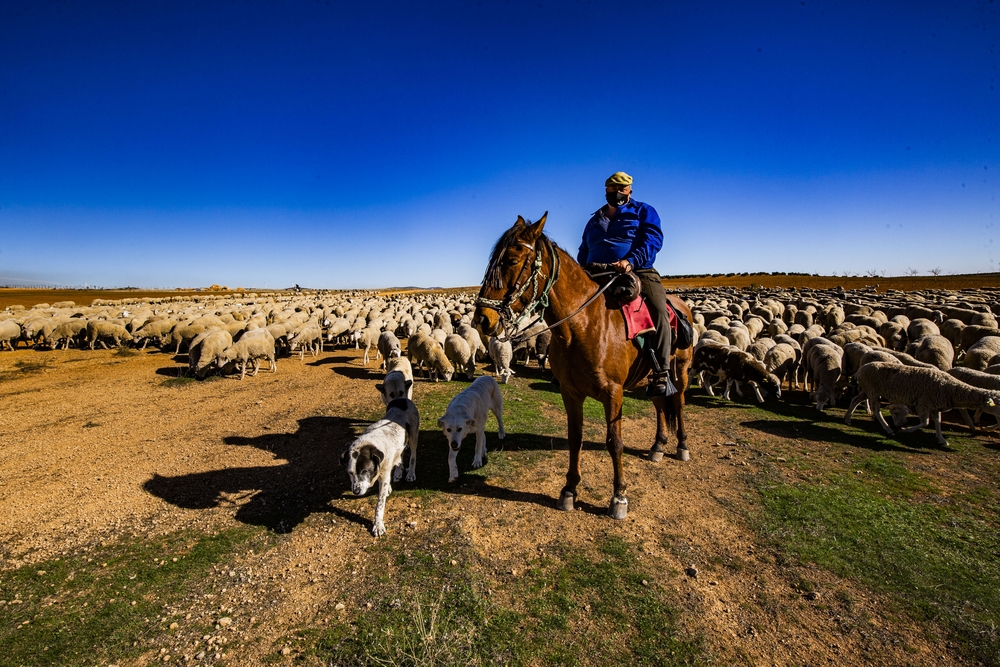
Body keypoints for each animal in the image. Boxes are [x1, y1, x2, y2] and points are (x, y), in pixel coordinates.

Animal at [342, 396, 420, 536]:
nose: (356, 492)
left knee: (412, 456)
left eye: (364, 471)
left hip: (413, 436)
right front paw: (389, 486)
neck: (370, 443)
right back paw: (398, 473)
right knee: (400, 456)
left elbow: (379, 504)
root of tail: (402, 398)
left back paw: (410, 473)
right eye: (350, 473)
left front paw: (378, 525)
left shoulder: (383, 474)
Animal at [472, 211, 692, 520]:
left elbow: (614, 442)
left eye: (512, 261)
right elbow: (574, 438)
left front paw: (619, 497)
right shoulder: (570, 392)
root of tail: (680, 305)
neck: (584, 325)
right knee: (661, 403)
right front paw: (569, 490)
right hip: (651, 376)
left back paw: (681, 446)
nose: (481, 319)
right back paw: (658, 446)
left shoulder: (614, 394)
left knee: (679, 403)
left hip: (680, 369)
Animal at [844, 362, 1000, 446]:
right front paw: (906, 430)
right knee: (877, 410)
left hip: (868, 390)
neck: (951, 388)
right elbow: (925, 422)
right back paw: (888, 429)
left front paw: (942, 439)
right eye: (998, 404)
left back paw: (848, 419)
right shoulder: (923, 404)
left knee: (855, 400)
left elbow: (937, 422)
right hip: (873, 390)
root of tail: (861, 369)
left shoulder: (935, 406)